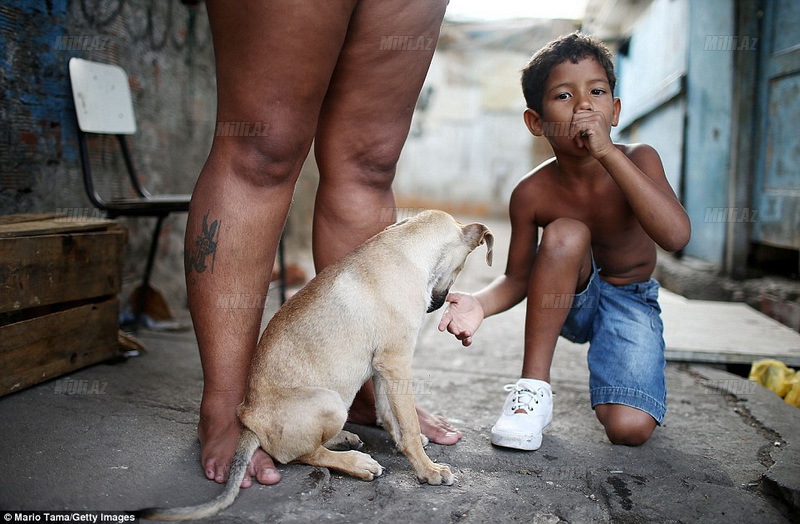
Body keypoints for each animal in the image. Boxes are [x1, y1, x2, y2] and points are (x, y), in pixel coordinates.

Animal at [140, 209, 490, 520]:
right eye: (460, 268)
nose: (436, 306)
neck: (407, 247)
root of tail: (249, 422)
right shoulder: (396, 361)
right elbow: (409, 422)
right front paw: (427, 469)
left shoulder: (383, 368)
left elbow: (390, 415)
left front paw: (405, 443)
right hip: (330, 401)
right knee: (301, 455)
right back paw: (357, 463)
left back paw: (343, 438)